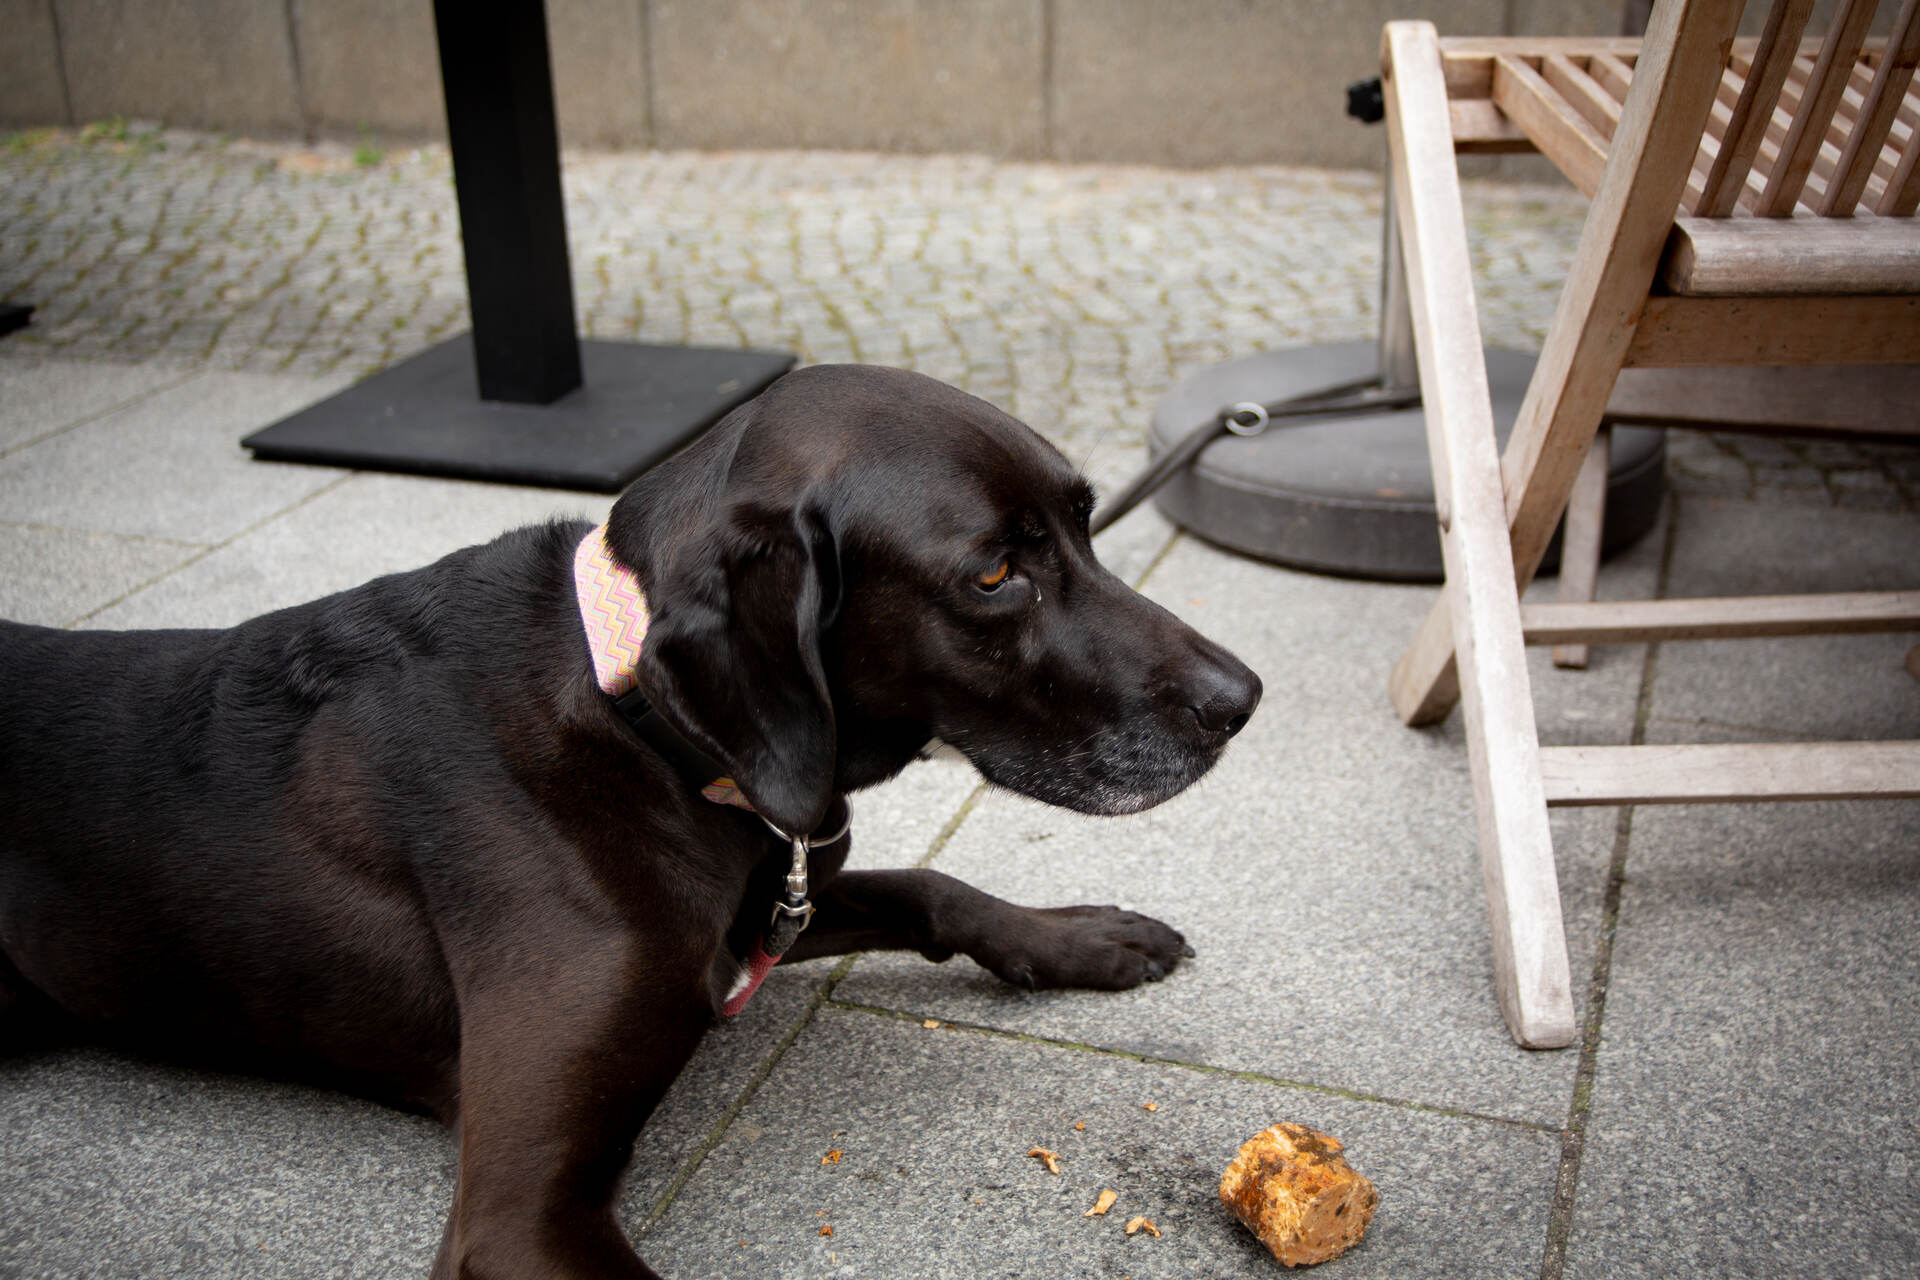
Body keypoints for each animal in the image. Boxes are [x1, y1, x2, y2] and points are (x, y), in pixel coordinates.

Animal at [0, 362, 1259, 1280]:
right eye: (995, 571)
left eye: (1088, 524)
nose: (1243, 697)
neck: (641, 724)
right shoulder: (518, 1213)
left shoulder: (764, 902)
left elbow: (929, 886)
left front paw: (1082, 935)